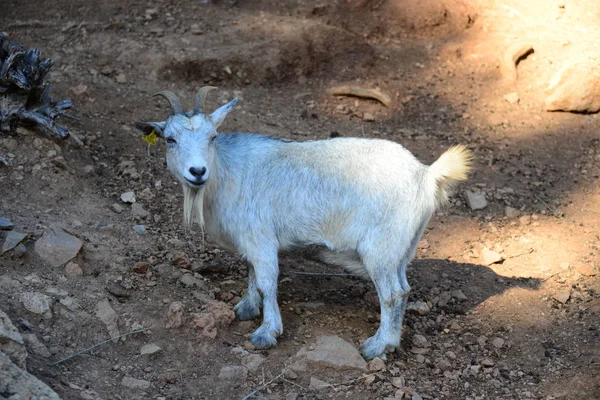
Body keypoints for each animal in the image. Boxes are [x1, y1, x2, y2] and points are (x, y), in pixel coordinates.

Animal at [136, 88, 474, 360]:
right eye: (170, 139)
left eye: (212, 137)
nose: (197, 171)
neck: (225, 172)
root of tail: (426, 175)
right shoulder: (251, 241)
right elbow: (251, 272)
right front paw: (246, 308)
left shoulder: (261, 238)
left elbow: (267, 281)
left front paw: (267, 332)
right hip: (400, 249)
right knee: (404, 288)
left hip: (380, 248)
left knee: (393, 294)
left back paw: (377, 346)